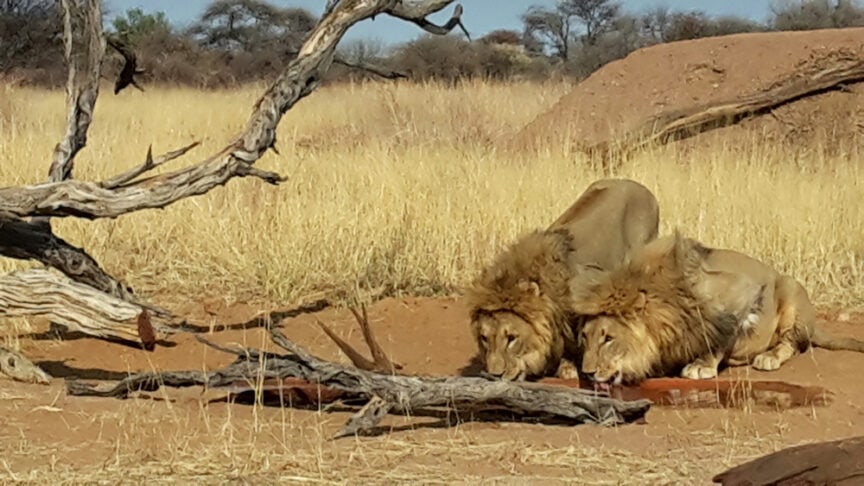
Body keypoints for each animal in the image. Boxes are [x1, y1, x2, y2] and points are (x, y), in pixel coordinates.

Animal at [571, 232, 864, 386]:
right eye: (584, 337)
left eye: (609, 339)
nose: (587, 373)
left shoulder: (739, 291)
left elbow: (719, 335)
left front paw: (701, 366)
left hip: (790, 287)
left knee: (791, 344)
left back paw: (768, 357)